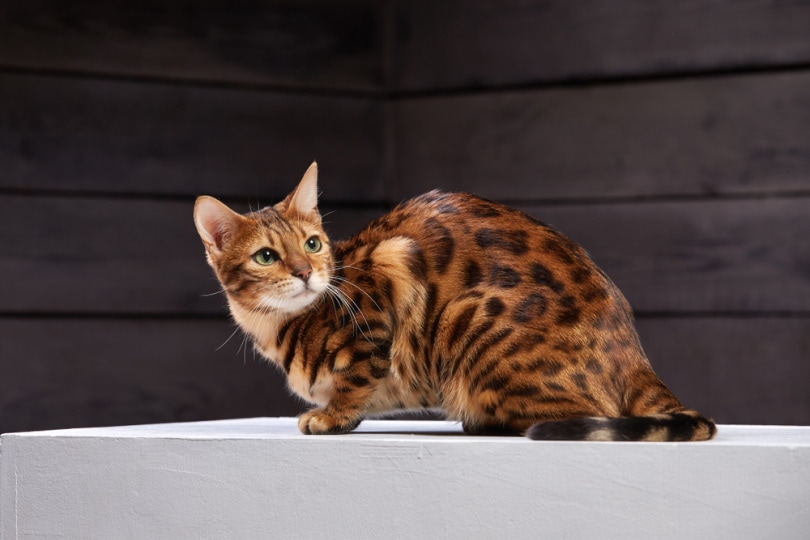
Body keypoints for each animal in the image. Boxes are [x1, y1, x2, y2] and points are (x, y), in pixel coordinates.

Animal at [194, 162, 712, 440]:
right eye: (266, 256)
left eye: (313, 244)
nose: (305, 272)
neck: (275, 326)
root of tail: (636, 357)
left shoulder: (386, 280)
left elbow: (356, 381)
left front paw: (332, 417)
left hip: (469, 320)